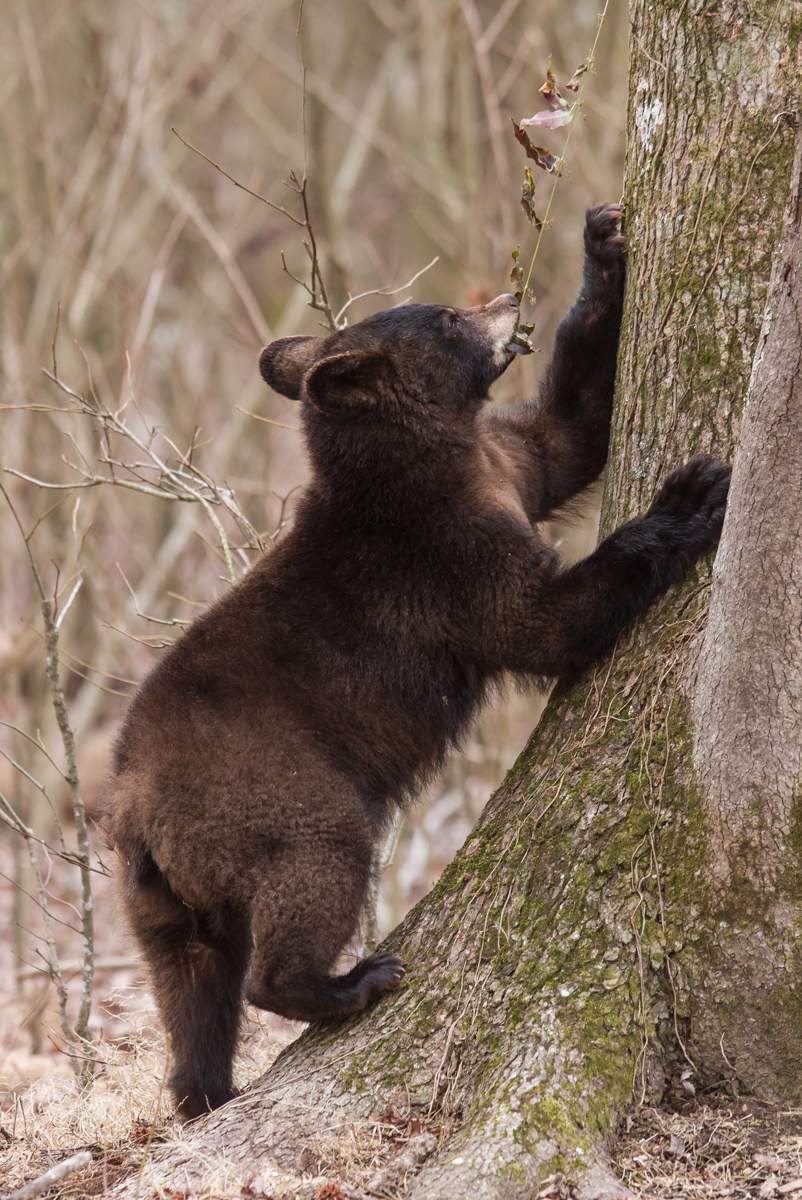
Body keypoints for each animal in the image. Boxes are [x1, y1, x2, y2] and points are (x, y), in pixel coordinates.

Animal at [108, 203, 730, 1121]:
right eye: (442, 318)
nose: (506, 298)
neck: (426, 459)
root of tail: (133, 807)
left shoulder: (500, 466)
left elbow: (568, 433)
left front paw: (605, 247)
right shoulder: (441, 554)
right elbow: (539, 621)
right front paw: (689, 496)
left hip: (153, 903)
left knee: (189, 987)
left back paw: (205, 1091)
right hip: (273, 795)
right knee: (313, 875)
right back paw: (351, 981)